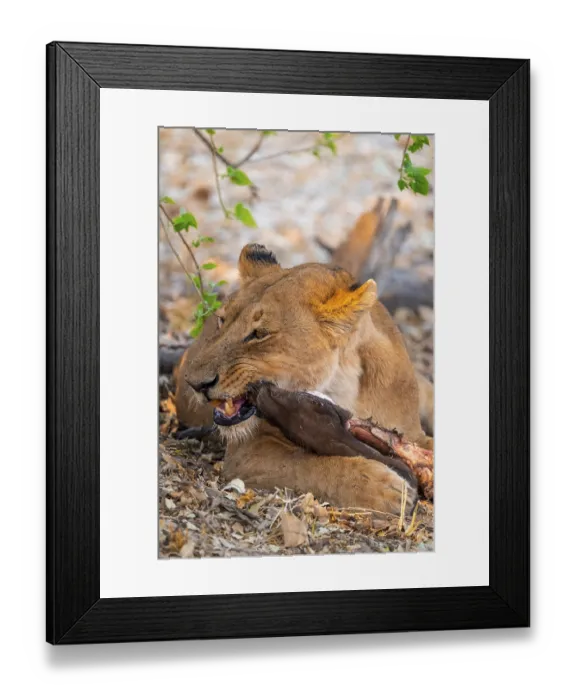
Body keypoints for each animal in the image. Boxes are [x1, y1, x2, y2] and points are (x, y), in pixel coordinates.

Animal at [174, 243, 433, 515]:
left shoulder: (411, 434)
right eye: (222, 320)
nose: (195, 383)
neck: (344, 384)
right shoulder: (248, 451)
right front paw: (384, 488)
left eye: (259, 334)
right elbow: (306, 465)